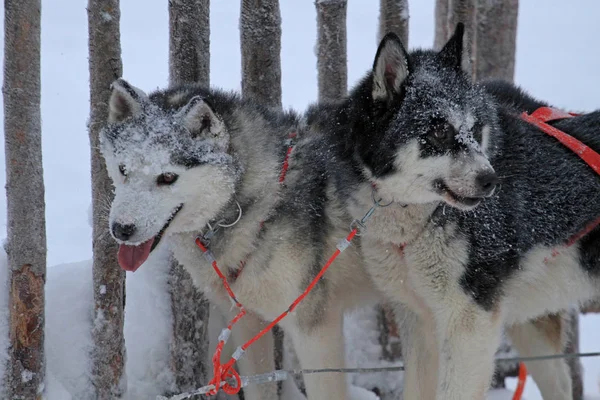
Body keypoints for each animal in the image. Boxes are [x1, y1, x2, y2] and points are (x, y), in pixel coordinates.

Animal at [100, 79, 378, 400]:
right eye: (123, 169)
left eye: (167, 177)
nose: (122, 228)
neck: (264, 205)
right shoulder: (248, 322)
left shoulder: (316, 331)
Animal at [310, 24, 600, 400]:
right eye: (439, 131)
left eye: (476, 129)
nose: (490, 180)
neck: (421, 218)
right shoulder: (419, 322)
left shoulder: (468, 325)